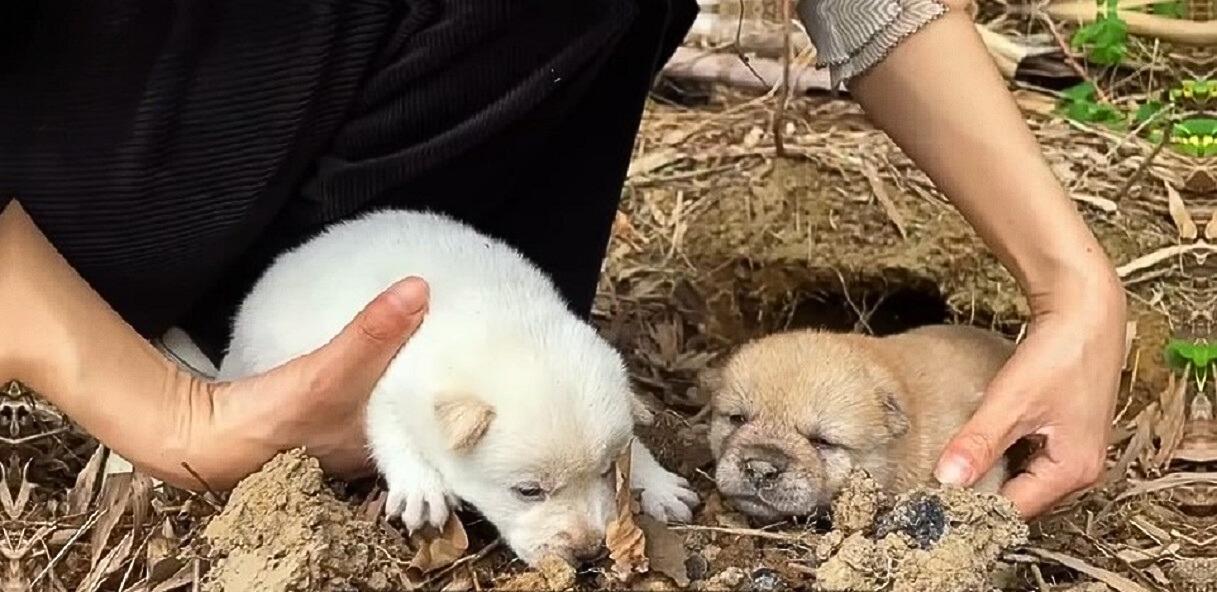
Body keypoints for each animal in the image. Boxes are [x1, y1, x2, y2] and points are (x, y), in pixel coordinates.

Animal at [214, 208, 700, 565]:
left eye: (606, 471)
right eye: (528, 491)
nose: (589, 554)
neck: (506, 321)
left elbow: (634, 443)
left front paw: (658, 484)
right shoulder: (386, 377)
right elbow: (390, 428)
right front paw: (421, 487)